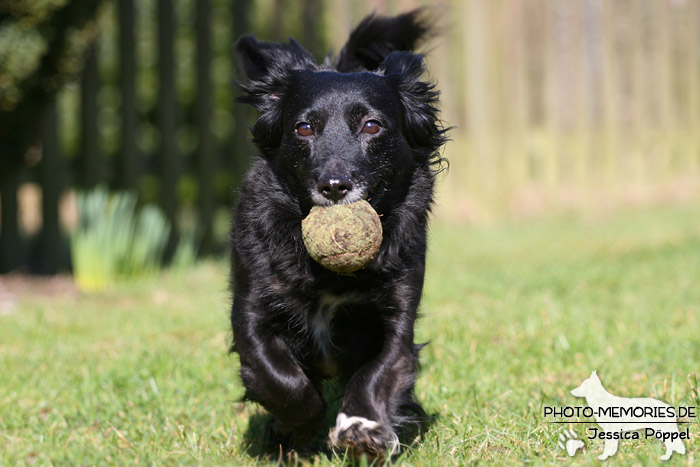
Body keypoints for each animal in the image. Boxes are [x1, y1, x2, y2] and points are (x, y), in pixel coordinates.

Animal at [230, 9, 448, 458]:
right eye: (303, 128)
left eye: (371, 126)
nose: (334, 185)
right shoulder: (252, 310)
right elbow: (278, 377)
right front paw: (300, 422)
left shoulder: (397, 313)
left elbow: (378, 371)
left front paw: (363, 426)